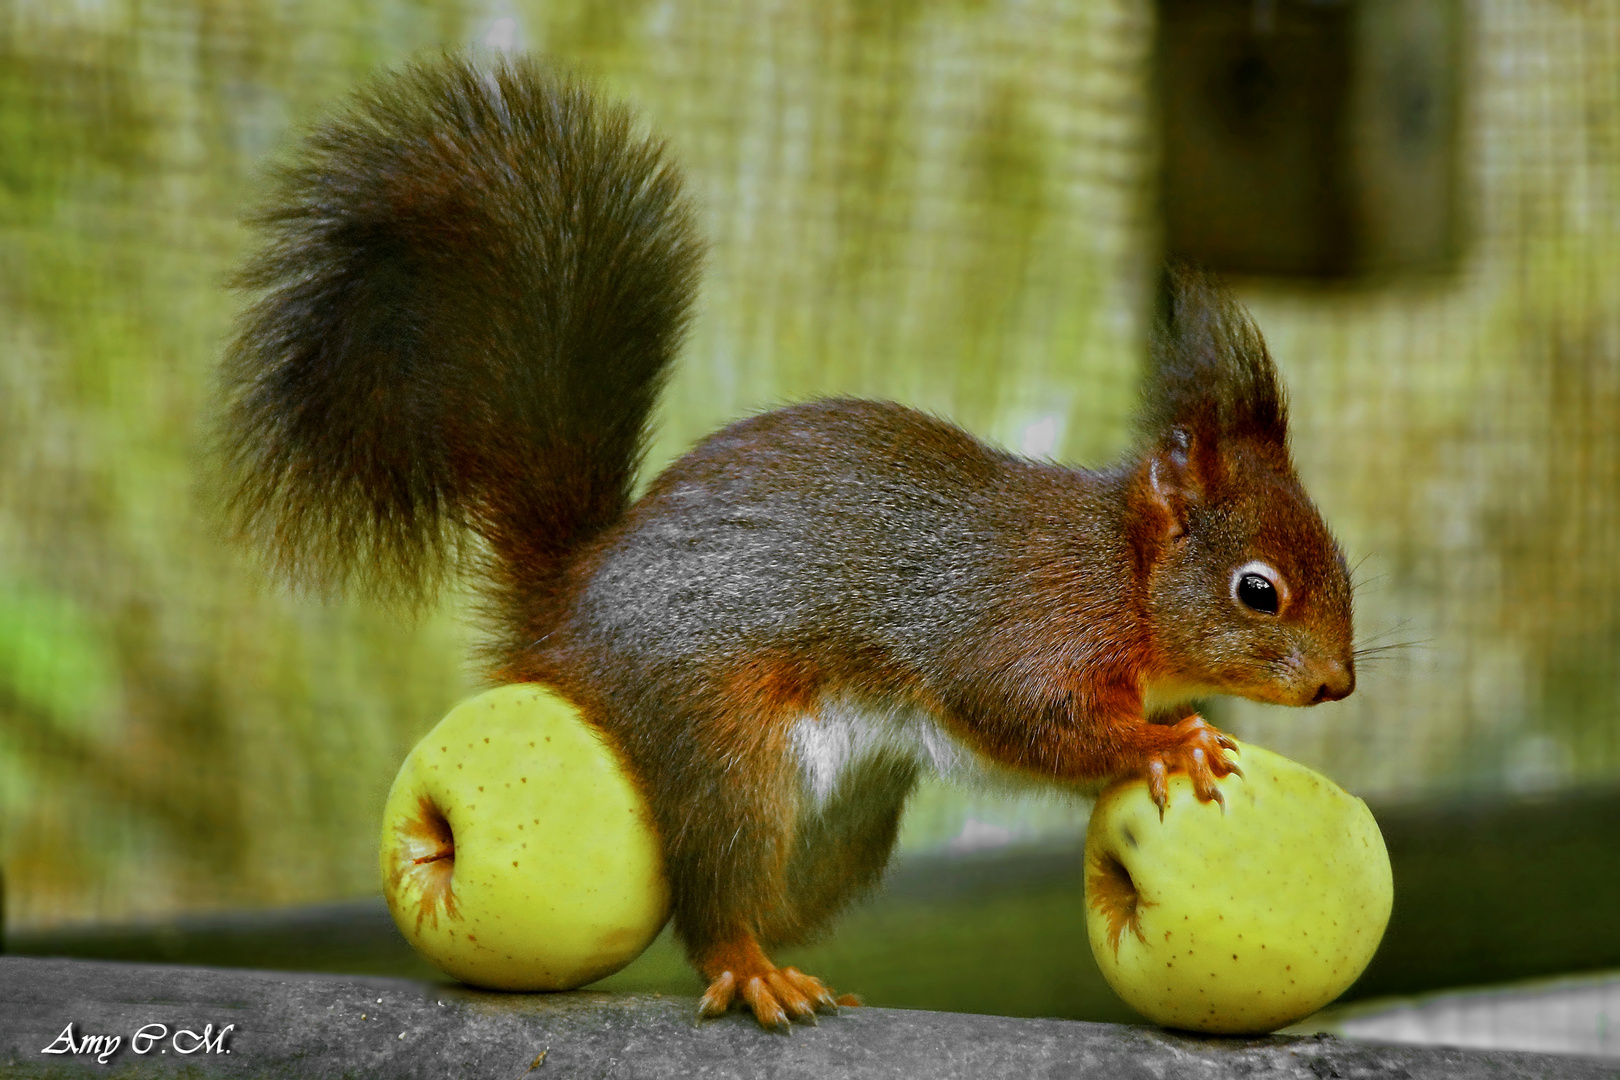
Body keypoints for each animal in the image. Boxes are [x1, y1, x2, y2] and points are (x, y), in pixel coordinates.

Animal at [215, 57, 1354, 1029]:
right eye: (1257, 590)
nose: (1338, 685)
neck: (1122, 574)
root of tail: (568, 616)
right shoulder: (1024, 623)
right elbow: (1032, 718)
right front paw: (1169, 743)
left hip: (849, 814)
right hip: (725, 742)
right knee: (713, 892)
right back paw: (749, 968)